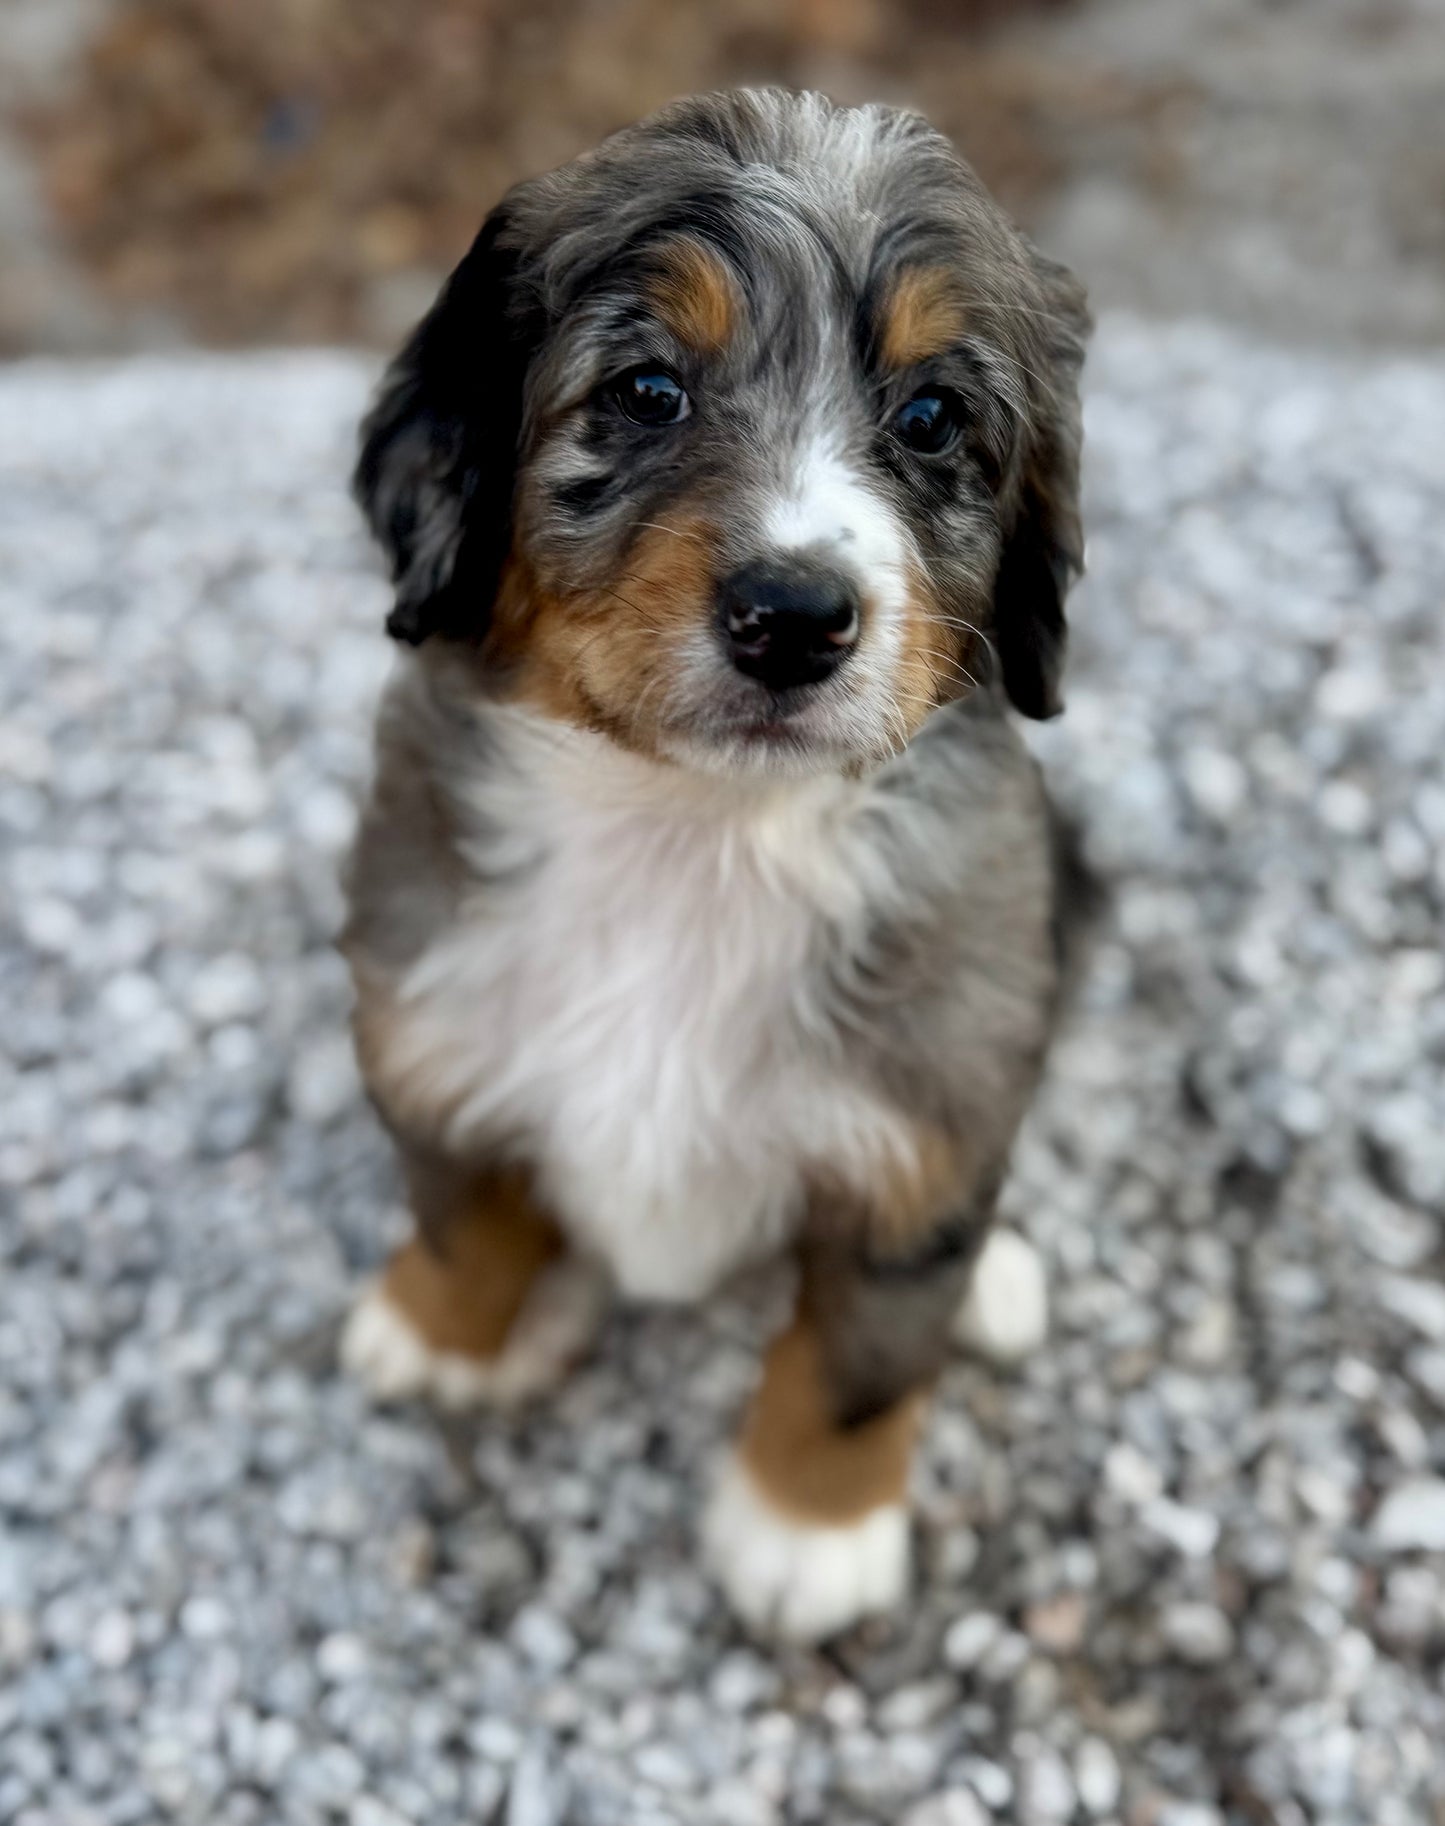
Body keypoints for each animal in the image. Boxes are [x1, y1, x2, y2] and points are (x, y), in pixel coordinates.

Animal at [336, 89, 1081, 1643]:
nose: (793, 616)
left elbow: (861, 1351)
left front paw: (806, 1530)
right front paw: (446, 1331)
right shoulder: (424, 1021)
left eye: (932, 418)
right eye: (645, 391)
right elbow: (462, 1210)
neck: (702, 831)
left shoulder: (927, 1109)